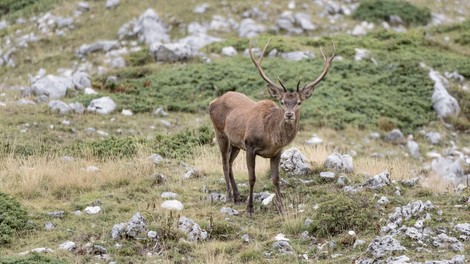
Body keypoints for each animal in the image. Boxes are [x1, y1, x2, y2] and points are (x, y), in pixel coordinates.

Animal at [208, 39, 334, 217]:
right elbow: (252, 178)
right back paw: (229, 196)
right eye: (282, 102)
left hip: (235, 143)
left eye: (299, 102)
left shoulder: (277, 152)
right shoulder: (250, 145)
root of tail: (213, 101)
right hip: (220, 133)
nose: (289, 114)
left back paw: (237, 196)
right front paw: (250, 209)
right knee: (225, 163)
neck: (271, 137)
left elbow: (276, 179)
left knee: (230, 163)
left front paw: (281, 209)